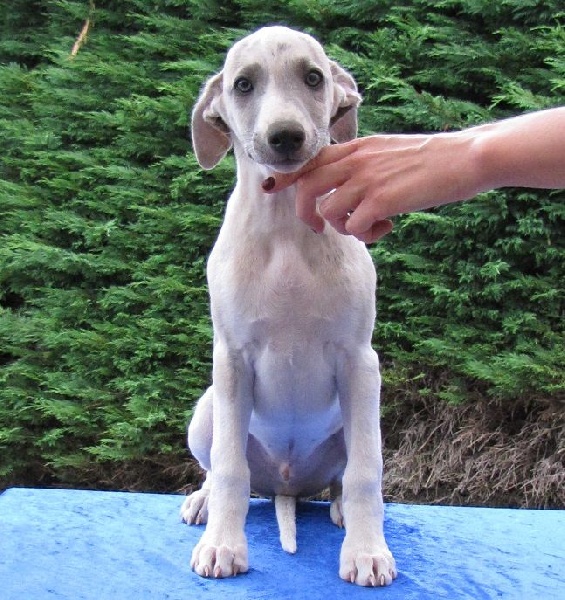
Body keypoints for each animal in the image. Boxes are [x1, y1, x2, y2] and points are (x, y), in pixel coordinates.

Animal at [180, 26, 397, 587]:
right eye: (242, 84)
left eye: (314, 78)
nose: (285, 137)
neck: (284, 223)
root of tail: (286, 485)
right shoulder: (231, 360)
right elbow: (229, 468)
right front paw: (223, 546)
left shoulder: (360, 361)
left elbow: (366, 472)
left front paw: (366, 551)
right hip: (208, 410)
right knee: (217, 464)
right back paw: (204, 502)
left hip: (359, 415)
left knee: (344, 476)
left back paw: (339, 509)